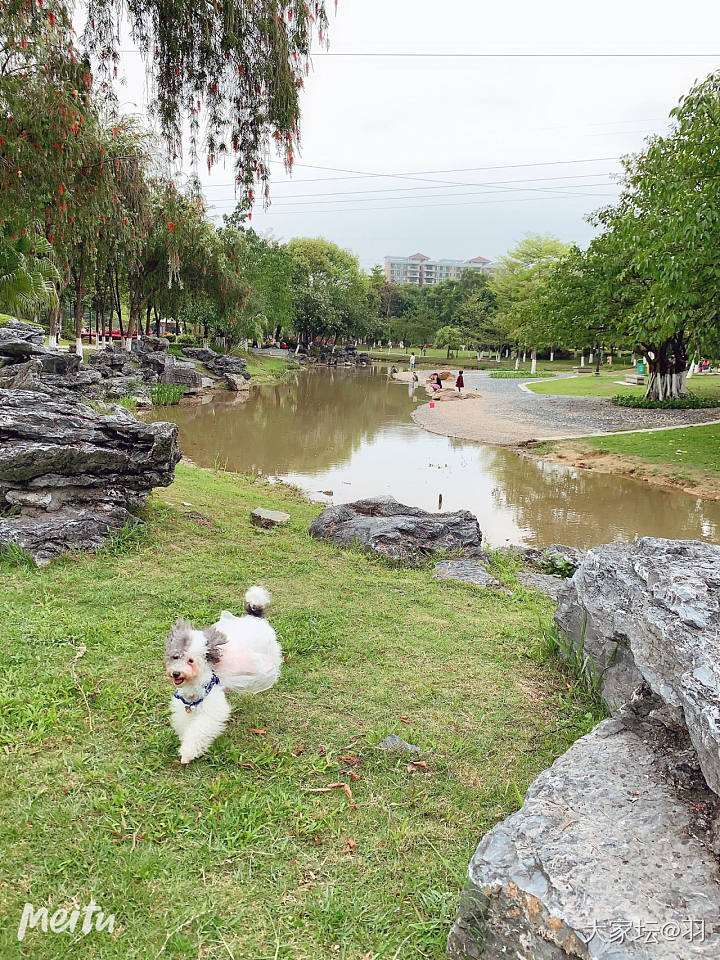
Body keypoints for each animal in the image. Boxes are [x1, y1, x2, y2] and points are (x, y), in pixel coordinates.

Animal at [165, 584, 282, 764]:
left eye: (191, 660)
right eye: (175, 656)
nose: (176, 673)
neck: (194, 684)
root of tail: (254, 616)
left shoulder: (212, 709)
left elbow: (199, 730)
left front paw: (188, 752)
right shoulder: (184, 707)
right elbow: (186, 724)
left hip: (269, 651)